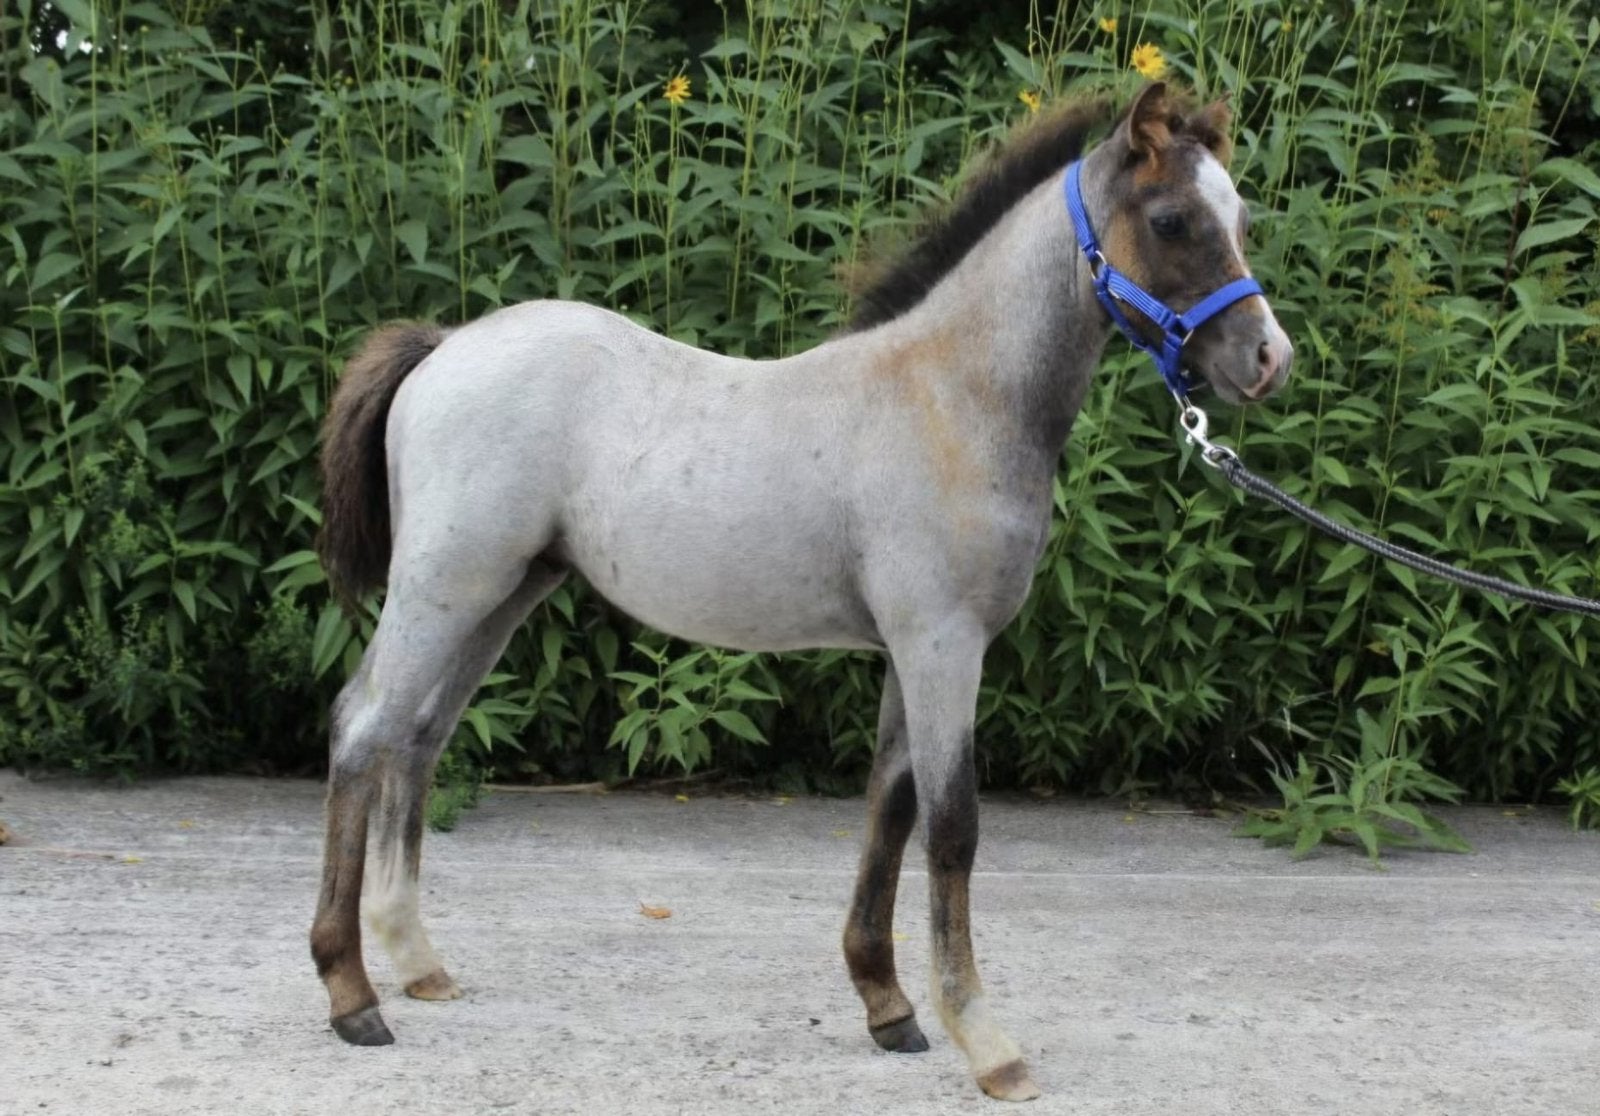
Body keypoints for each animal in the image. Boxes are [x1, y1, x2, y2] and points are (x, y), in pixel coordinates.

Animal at [308, 81, 1292, 1102]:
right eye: (1172, 219)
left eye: (1242, 219)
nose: (1269, 358)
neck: (951, 397)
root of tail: (443, 346)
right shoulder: (945, 645)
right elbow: (953, 828)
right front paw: (987, 1042)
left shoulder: (911, 652)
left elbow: (891, 810)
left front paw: (890, 1008)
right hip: (445, 587)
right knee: (364, 728)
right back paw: (352, 995)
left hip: (499, 595)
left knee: (417, 739)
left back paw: (415, 962)